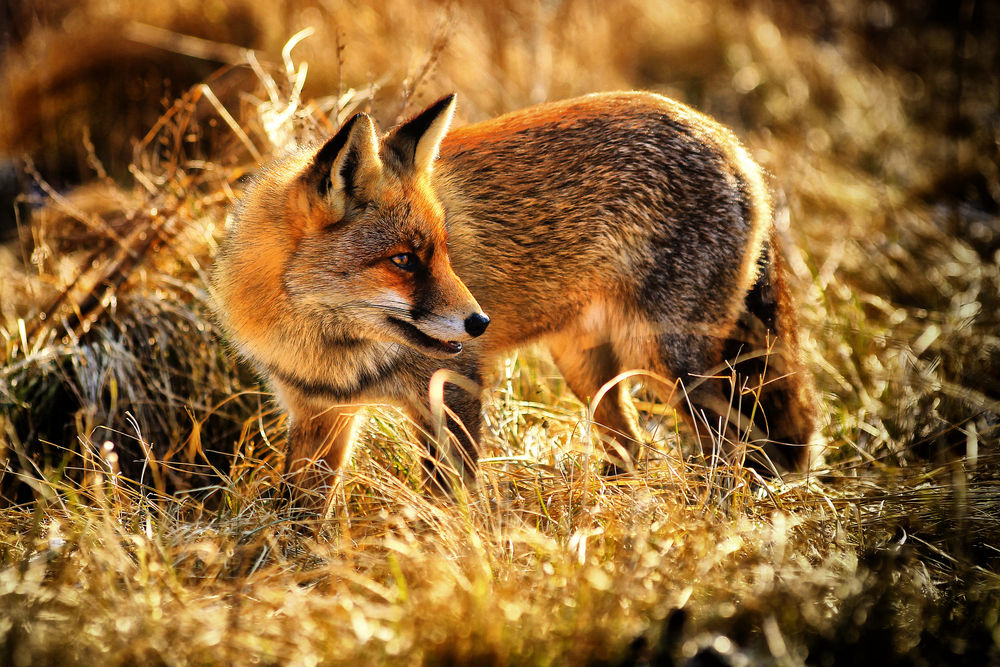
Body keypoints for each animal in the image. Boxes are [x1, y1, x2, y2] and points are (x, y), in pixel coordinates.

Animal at [211, 91, 819, 495]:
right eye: (404, 260)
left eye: (445, 251)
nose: (479, 323)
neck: (324, 347)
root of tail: (731, 144)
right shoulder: (319, 412)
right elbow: (299, 514)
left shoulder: (454, 387)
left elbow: (448, 500)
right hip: (585, 366)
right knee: (631, 445)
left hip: (666, 364)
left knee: (730, 449)